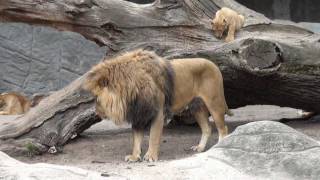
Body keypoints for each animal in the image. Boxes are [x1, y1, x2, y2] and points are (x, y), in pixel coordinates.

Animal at [84, 49, 231, 162]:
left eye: (96, 99)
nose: (97, 112)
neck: (133, 93)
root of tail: (214, 64)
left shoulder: (158, 113)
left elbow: (153, 137)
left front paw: (150, 156)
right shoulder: (139, 114)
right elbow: (136, 139)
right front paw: (134, 156)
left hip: (215, 103)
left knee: (223, 129)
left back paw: (218, 148)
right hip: (196, 107)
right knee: (207, 128)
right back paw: (200, 148)